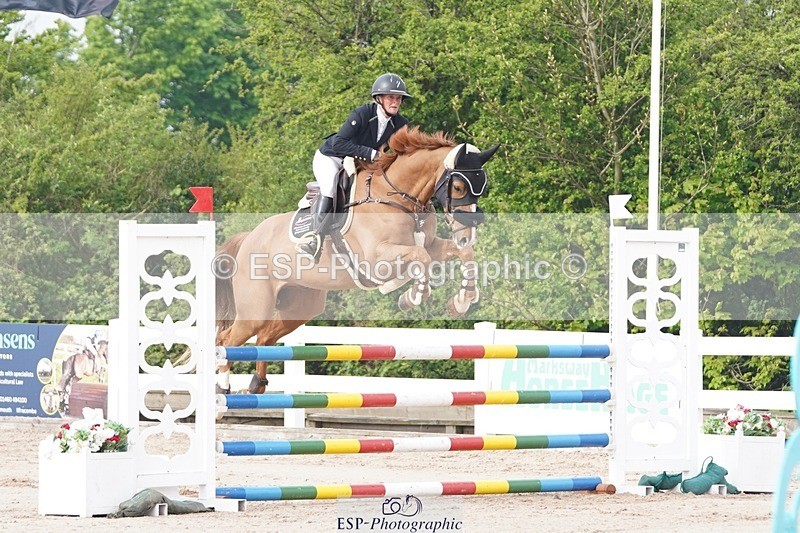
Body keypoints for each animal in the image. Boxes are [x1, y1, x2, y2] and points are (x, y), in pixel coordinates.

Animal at [215, 126, 499, 394]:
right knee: (227, 340)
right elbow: (421, 258)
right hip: (256, 309)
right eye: (459, 187)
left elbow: (459, 254)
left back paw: (256, 385)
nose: (467, 234)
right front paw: (412, 296)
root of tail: (249, 238)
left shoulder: (430, 244)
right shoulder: (377, 259)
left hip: (300, 306)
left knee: (264, 339)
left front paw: (462, 300)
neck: (397, 198)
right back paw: (222, 390)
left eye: (482, 188)